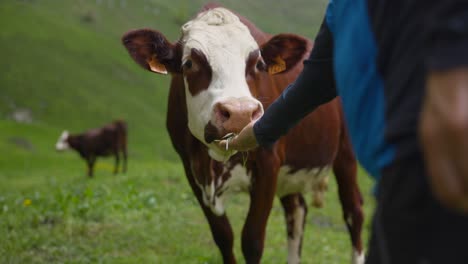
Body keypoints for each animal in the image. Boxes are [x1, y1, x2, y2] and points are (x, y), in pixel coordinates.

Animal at [122, 4, 364, 264]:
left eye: (258, 64)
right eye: (188, 64)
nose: (240, 113)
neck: (214, 165)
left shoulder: (268, 164)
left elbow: (252, 241)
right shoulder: (190, 166)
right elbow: (223, 236)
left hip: (346, 152)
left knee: (354, 211)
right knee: (297, 210)